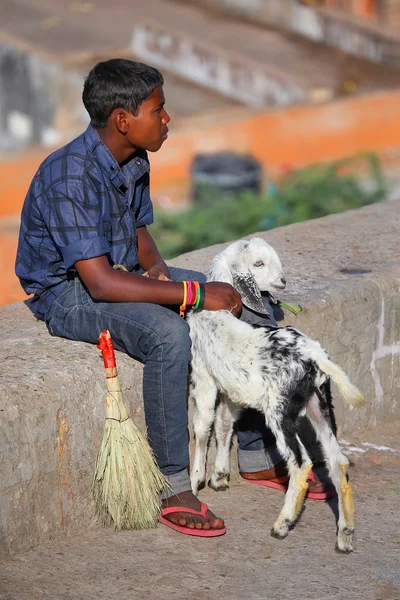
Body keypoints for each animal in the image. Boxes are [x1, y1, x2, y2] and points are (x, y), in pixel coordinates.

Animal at [188, 238, 366, 552]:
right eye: (259, 263)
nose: (283, 281)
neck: (215, 313)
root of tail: (315, 356)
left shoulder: (204, 378)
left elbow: (202, 428)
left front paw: (197, 480)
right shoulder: (233, 392)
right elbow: (224, 426)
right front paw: (219, 476)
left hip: (280, 411)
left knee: (301, 463)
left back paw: (282, 524)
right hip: (319, 405)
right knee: (338, 462)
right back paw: (344, 535)